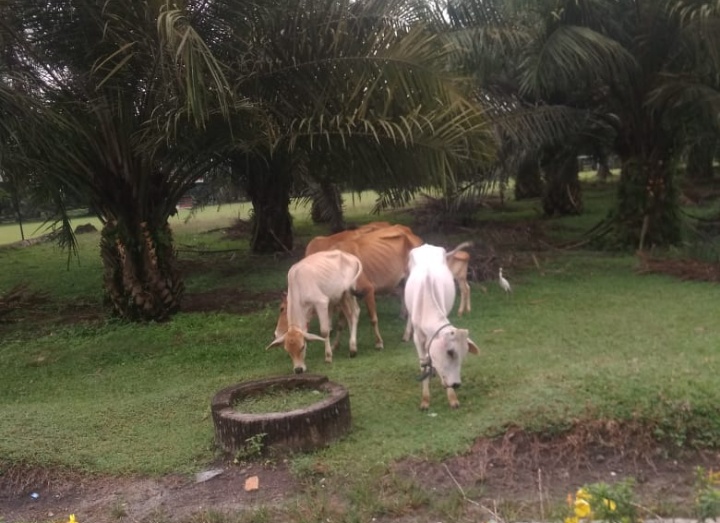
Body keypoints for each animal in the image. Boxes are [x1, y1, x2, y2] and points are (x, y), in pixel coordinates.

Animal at [402, 244, 480, 412]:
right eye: (450, 352)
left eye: (464, 354)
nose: (456, 384)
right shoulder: (418, 338)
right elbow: (424, 366)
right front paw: (425, 400)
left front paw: (452, 398)